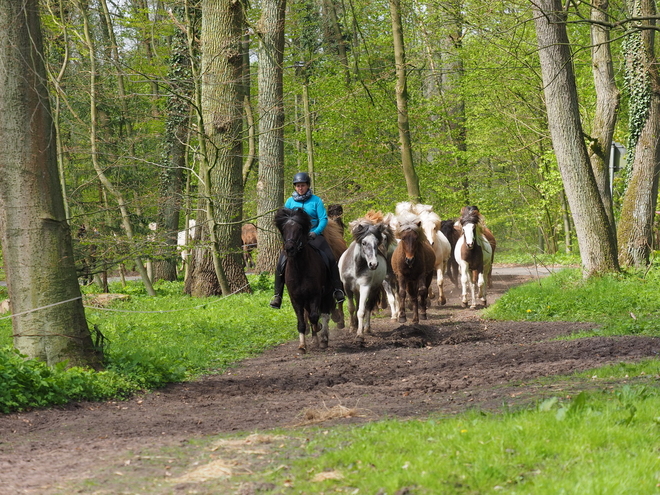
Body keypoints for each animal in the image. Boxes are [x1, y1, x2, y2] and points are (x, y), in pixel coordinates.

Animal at [274, 207, 336, 354]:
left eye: (299, 229)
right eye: (284, 229)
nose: (289, 248)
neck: (299, 269)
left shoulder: (315, 295)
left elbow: (314, 316)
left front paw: (318, 328)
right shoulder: (296, 298)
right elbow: (302, 322)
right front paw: (302, 346)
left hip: (327, 294)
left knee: (325, 314)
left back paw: (323, 339)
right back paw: (315, 339)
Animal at [340, 211, 398, 342]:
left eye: (377, 243)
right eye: (364, 243)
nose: (373, 264)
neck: (356, 268)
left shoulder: (365, 287)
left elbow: (362, 310)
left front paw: (360, 334)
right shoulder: (347, 287)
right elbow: (351, 308)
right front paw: (352, 327)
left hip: (373, 288)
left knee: (368, 306)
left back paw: (367, 328)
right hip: (357, 290)